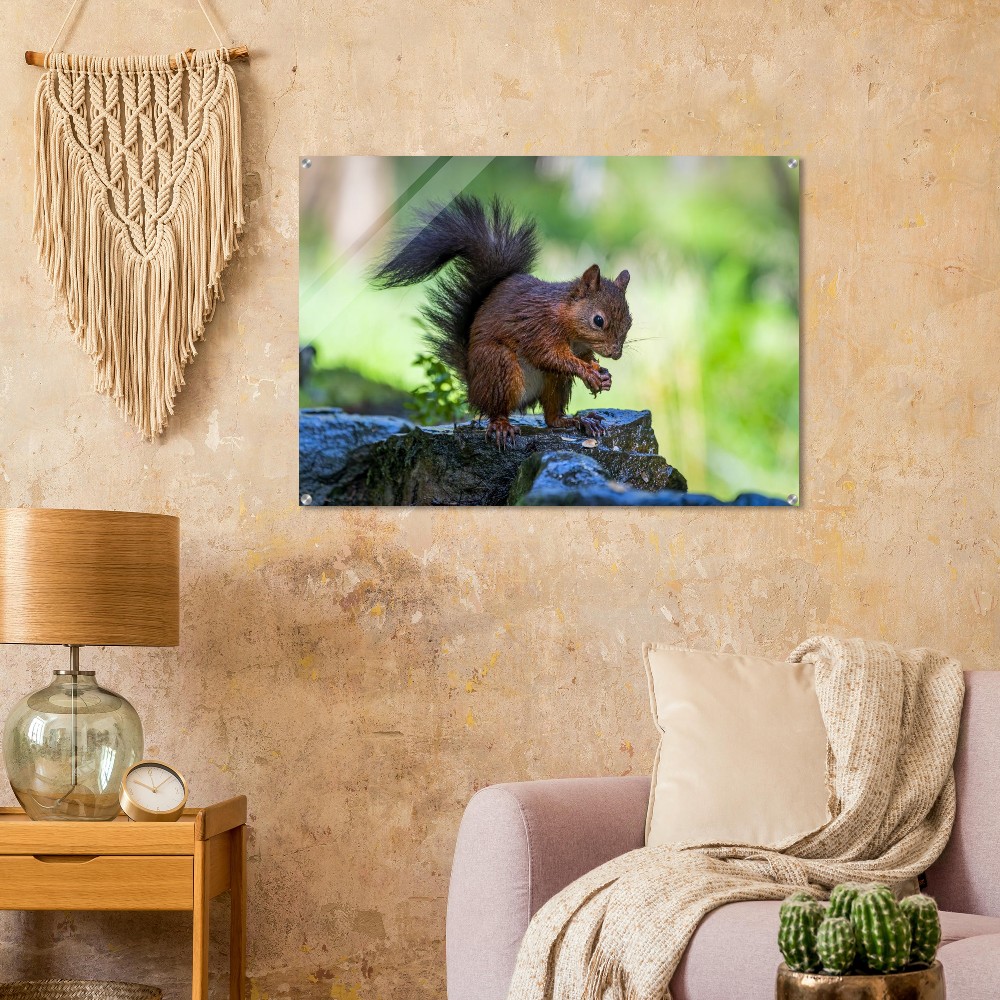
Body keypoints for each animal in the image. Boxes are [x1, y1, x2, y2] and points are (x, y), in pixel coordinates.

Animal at [371, 195, 632, 447]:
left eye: (630, 321)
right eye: (598, 320)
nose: (616, 354)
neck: (568, 322)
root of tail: (473, 386)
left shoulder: (579, 347)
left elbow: (583, 358)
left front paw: (602, 374)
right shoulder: (539, 328)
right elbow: (550, 356)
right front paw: (588, 372)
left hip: (554, 382)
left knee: (552, 417)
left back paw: (578, 421)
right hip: (498, 366)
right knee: (497, 409)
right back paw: (502, 425)